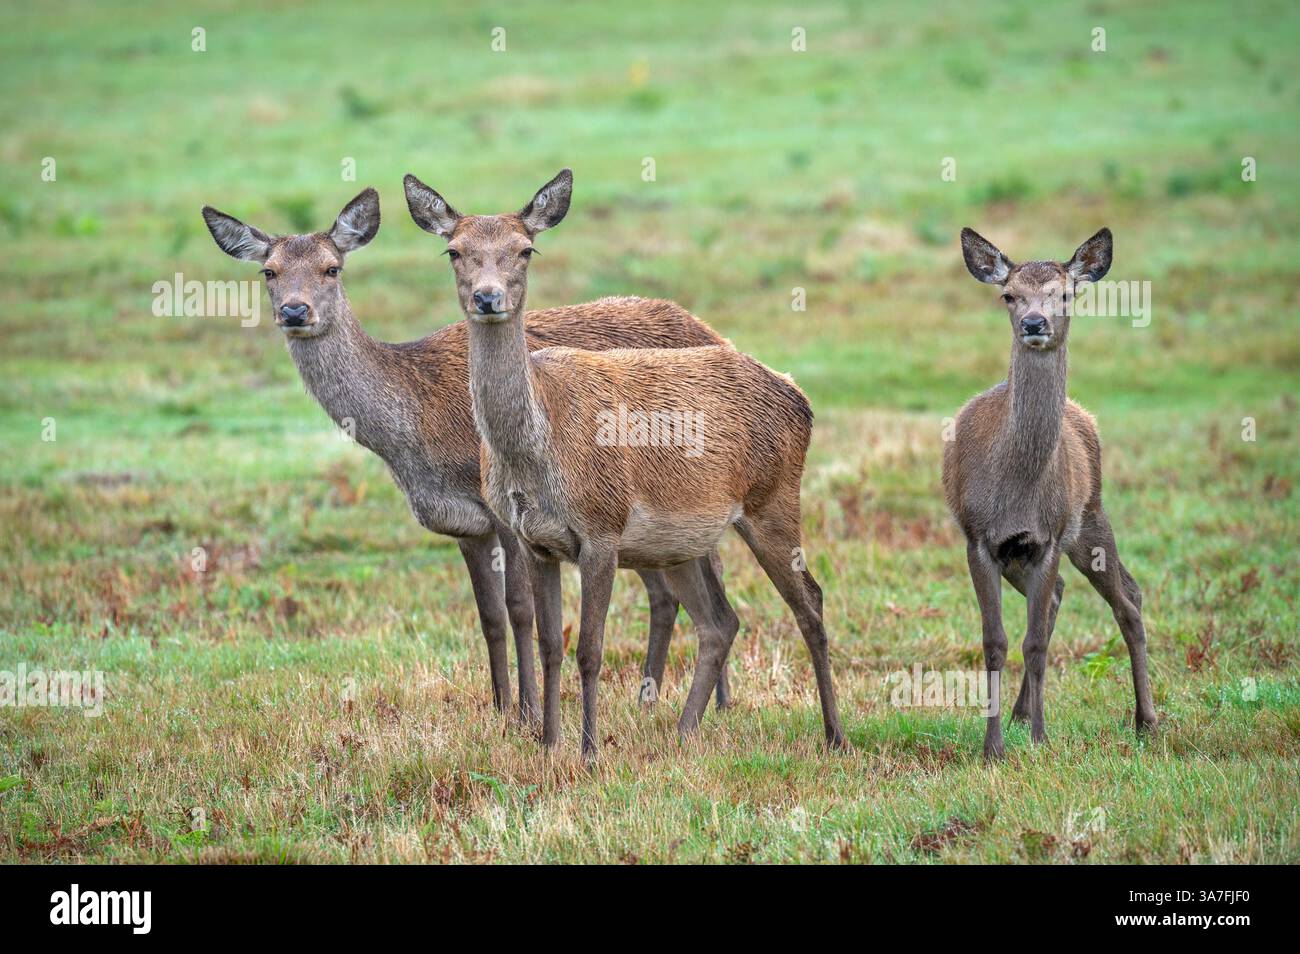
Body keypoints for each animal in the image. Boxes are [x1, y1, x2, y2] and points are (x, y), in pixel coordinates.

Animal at [200, 187, 735, 727]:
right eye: (269, 271)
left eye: (332, 268)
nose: (295, 311)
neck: (417, 432)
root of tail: (715, 332)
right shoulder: (462, 524)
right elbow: (489, 615)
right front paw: (500, 709)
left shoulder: (504, 512)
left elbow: (520, 608)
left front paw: (528, 715)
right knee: (666, 591)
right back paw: (666, 701)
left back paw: (710, 704)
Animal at [404, 168, 845, 759]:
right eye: (454, 250)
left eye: (526, 248)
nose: (487, 297)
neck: (535, 453)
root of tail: (800, 396)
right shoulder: (535, 541)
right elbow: (550, 643)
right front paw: (548, 743)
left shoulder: (601, 530)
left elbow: (590, 647)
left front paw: (589, 750)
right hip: (683, 541)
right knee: (721, 621)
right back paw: (683, 731)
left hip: (773, 499)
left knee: (810, 602)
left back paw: (834, 734)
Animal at [944, 226, 1158, 761]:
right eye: (1008, 295)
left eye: (1065, 294)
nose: (1034, 323)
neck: (1016, 484)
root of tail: (1084, 416)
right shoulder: (979, 538)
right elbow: (996, 641)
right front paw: (994, 748)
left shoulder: (1049, 537)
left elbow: (1035, 643)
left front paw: (1040, 741)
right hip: (1031, 551)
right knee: (1069, 593)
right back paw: (1022, 713)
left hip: (1090, 516)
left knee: (1128, 598)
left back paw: (1147, 720)